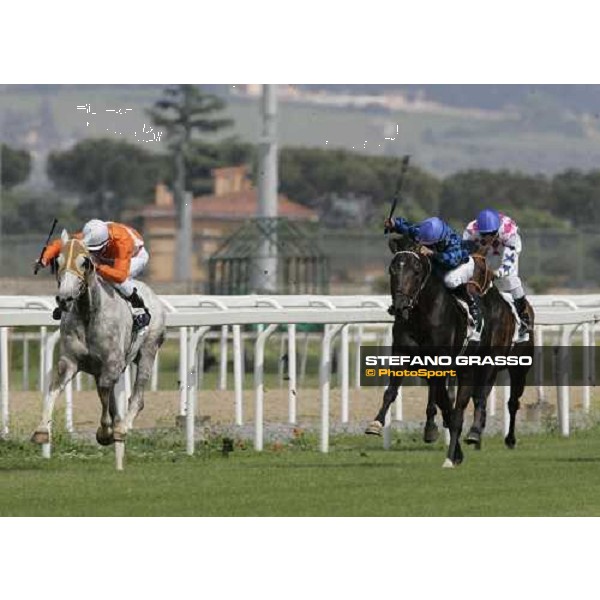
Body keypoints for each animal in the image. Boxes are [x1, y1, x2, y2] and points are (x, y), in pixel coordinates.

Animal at [31, 230, 165, 464]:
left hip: (148, 352)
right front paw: (41, 430)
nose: (64, 299)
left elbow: (104, 393)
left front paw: (105, 432)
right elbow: (54, 388)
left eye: (84, 262)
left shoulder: (111, 363)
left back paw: (122, 427)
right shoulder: (70, 362)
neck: (89, 313)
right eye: (58, 261)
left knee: (137, 398)